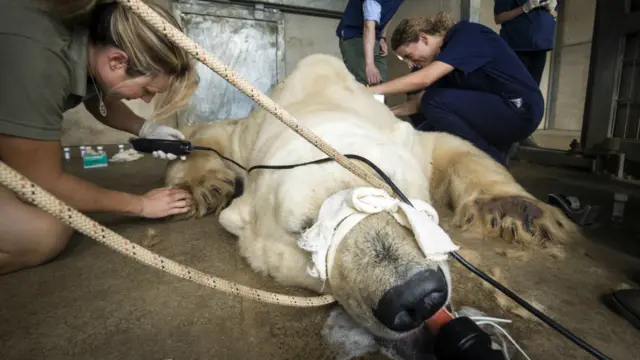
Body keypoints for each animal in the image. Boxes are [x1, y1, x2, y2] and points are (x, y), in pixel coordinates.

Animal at [162, 53, 576, 344]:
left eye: (395, 191)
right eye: (307, 233)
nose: (417, 298)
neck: (316, 101)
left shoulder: (405, 135)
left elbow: (451, 145)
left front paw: (514, 213)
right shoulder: (246, 139)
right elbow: (207, 134)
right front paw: (197, 189)